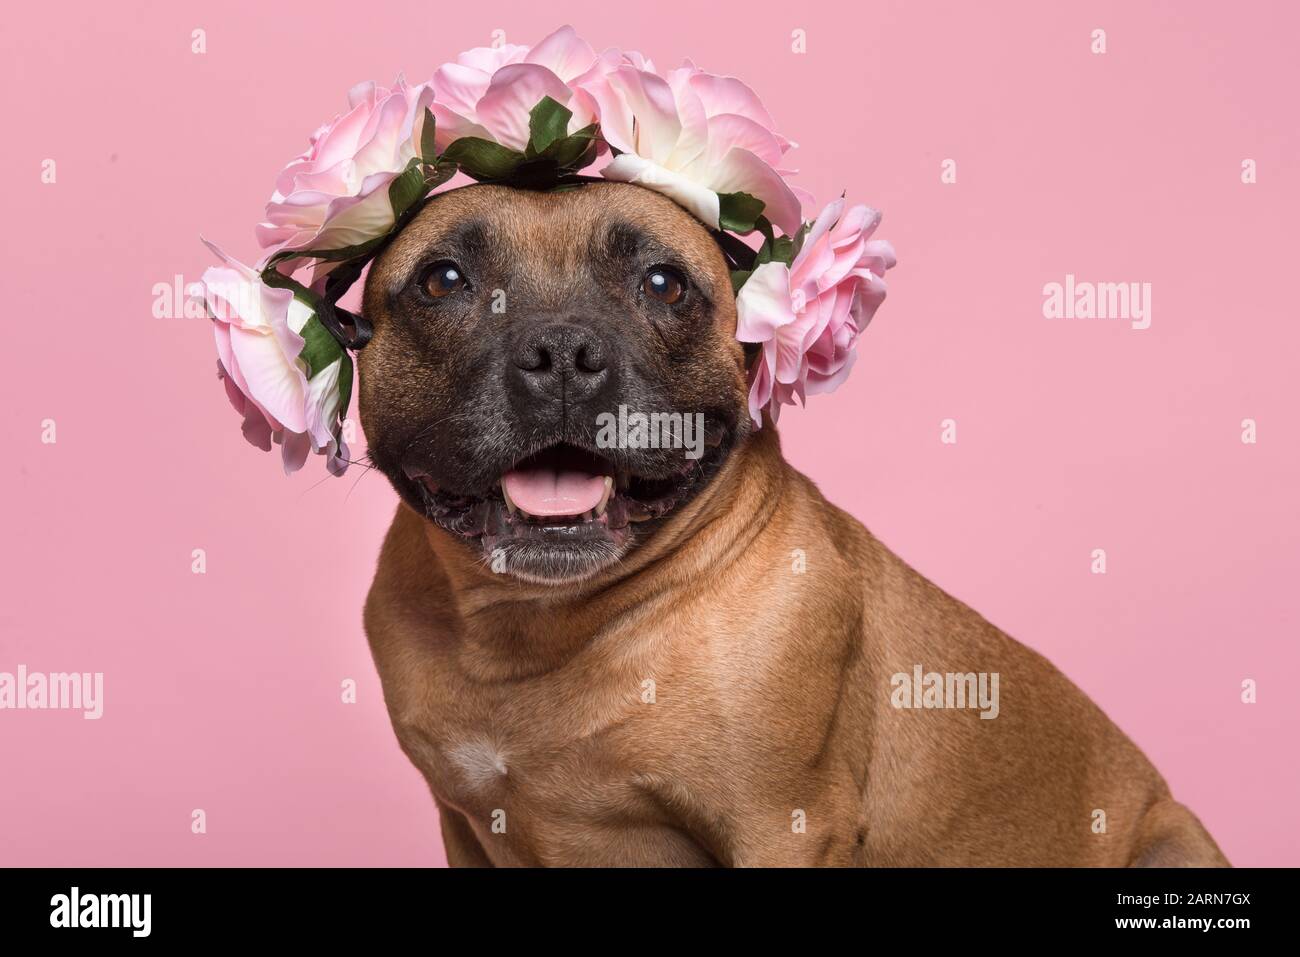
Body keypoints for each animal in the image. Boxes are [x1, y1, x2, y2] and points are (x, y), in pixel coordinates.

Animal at [356, 179, 1227, 868]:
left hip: (1169, 837)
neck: (537, 626)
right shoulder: (468, 827)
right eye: (442, 279)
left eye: (664, 283)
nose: (562, 350)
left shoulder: (785, 828)